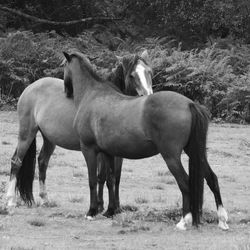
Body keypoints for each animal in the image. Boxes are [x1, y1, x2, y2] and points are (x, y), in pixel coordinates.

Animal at [5, 49, 153, 216]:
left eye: (149, 72)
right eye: (132, 75)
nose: (147, 96)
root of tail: (31, 87)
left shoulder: (116, 153)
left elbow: (116, 177)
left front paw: (116, 207)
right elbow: (101, 177)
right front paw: (100, 206)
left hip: (50, 139)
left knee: (42, 161)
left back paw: (45, 199)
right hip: (27, 133)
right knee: (16, 161)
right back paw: (10, 201)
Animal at [59, 51, 229, 230]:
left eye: (63, 65)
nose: (66, 92)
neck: (93, 95)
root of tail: (189, 103)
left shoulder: (89, 150)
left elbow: (93, 180)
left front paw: (91, 212)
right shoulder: (108, 153)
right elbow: (110, 179)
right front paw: (110, 211)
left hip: (171, 156)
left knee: (185, 183)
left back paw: (184, 221)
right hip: (195, 152)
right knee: (212, 178)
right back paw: (222, 220)